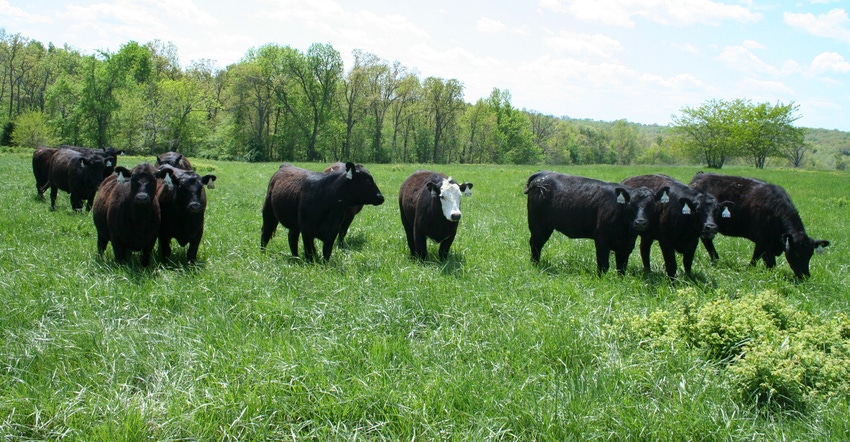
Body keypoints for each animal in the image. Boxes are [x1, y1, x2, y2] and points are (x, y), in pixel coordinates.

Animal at [524, 171, 668, 274]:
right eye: (631, 205)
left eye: (651, 205)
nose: (640, 222)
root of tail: (543, 174)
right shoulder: (601, 240)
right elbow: (603, 265)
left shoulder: (626, 246)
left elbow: (621, 266)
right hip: (538, 226)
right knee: (535, 245)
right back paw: (535, 264)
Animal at [684, 172, 824, 278]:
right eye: (796, 254)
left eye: (810, 254)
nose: (805, 276)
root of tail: (699, 176)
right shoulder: (764, 241)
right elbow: (769, 262)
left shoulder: (763, 242)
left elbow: (756, 256)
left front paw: (750, 268)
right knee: (706, 240)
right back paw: (715, 260)